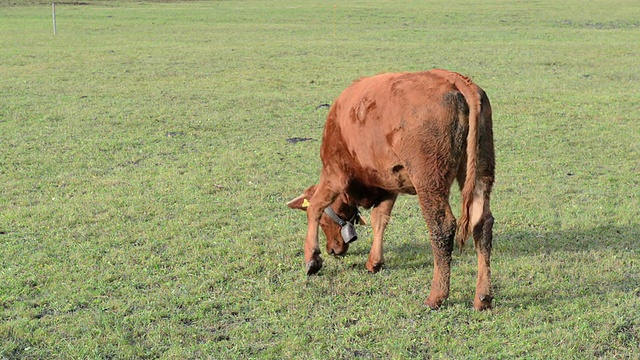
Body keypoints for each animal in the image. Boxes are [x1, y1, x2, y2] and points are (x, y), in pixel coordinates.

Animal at [288, 69, 498, 310]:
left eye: (325, 222)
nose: (333, 250)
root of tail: (454, 79)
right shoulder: (388, 186)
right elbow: (380, 220)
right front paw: (374, 262)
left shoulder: (335, 175)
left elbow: (315, 207)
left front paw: (312, 259)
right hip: (481, 171)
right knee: (482, 223)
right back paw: (483, 297)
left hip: (429, 180)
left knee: (442, 227)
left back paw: (436, 296)